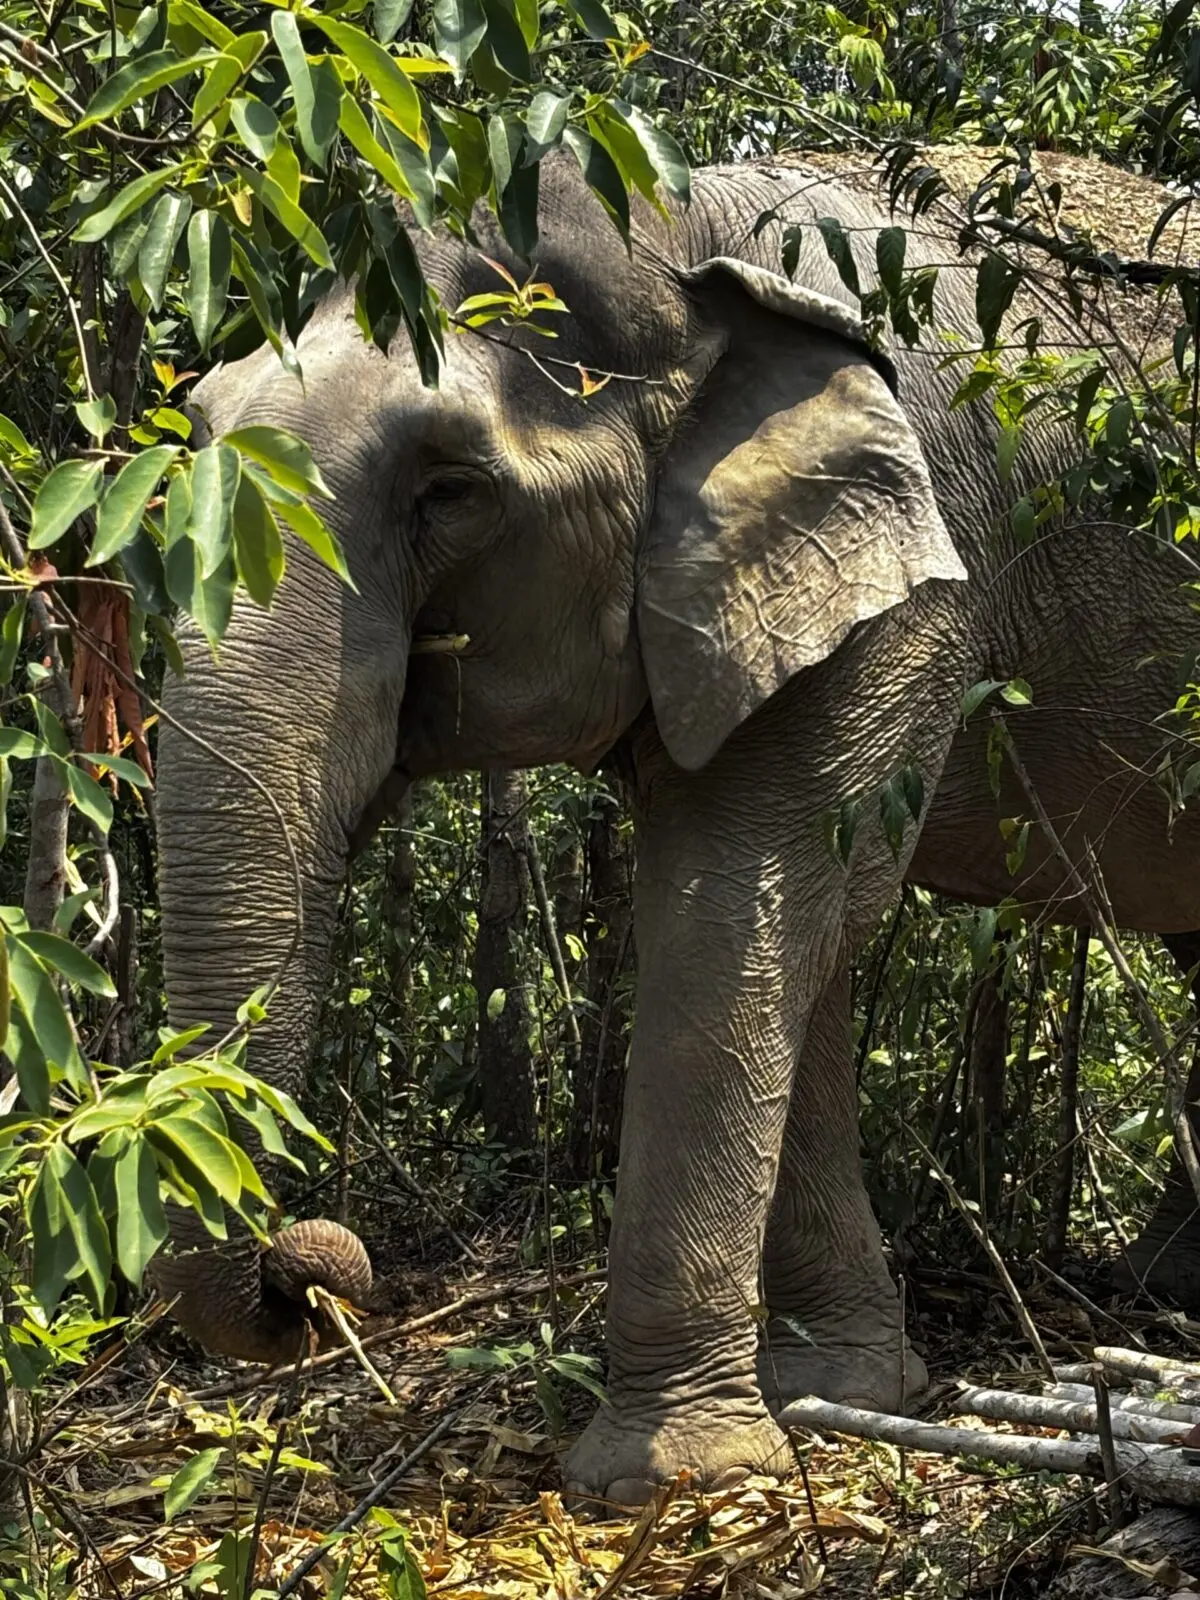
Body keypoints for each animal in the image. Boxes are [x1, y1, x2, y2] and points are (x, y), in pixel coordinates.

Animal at [155, 151, 1200, 1504]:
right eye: (198, 429)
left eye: (451, 490)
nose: (311, 1274)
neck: (684, 232)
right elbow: (795, 929)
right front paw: (842, 1388)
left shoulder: (908, 579)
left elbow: (737, 904)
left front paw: (665, 1476)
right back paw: (1160, 1283)